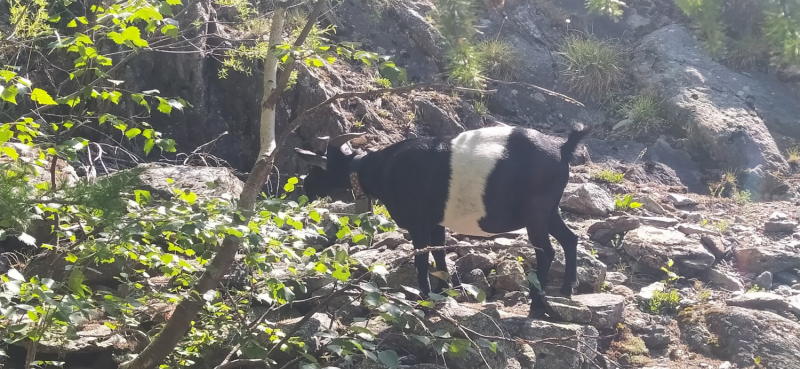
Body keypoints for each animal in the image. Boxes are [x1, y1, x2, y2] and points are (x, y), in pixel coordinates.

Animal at [296, 125, 592, 314]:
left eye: (316, 168)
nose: (305, 187)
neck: (381, 170)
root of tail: (562, 148)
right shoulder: (436, 223)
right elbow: (439, 254)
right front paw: (443, 291)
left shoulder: (417, 224)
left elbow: (421, 260)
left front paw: (425, 299)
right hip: (550, 210)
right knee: (570, 239)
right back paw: (568, 288)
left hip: (536, 212)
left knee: (547, 251)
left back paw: (537, 305)